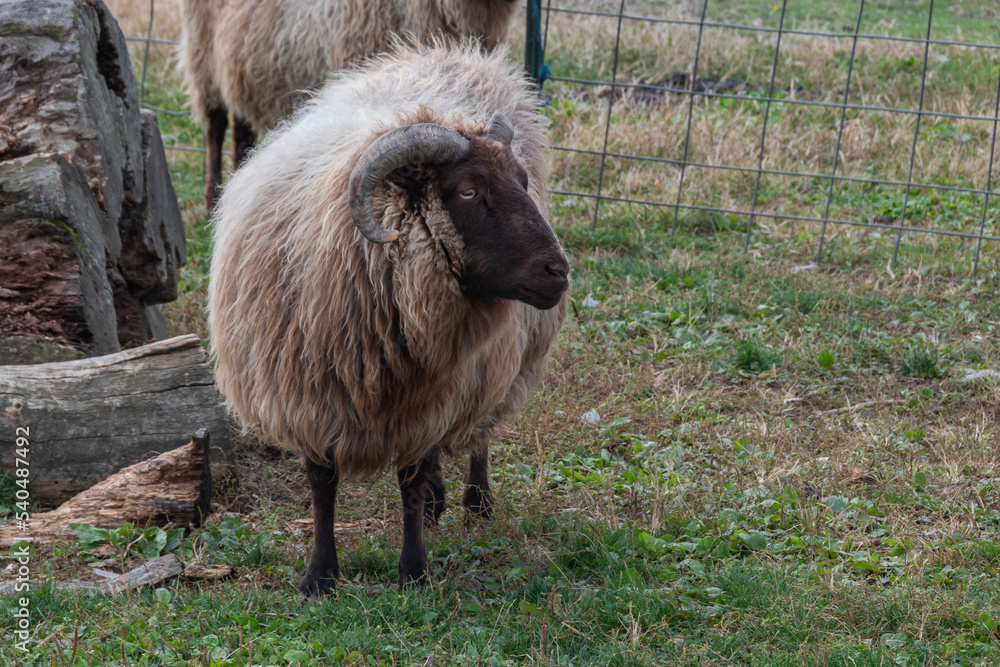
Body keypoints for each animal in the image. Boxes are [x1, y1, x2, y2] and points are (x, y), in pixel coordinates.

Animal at [208, 42, 569, 596]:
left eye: (523, 181)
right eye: (468, 192)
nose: (558, 272)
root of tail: (457, 54)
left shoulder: (431, 400)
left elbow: (410, 481)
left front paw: (414, 570)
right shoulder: (307, 398)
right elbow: (322, 486)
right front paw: (320, 575)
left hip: (496, 371)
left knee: (480, 433)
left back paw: (476, 501)